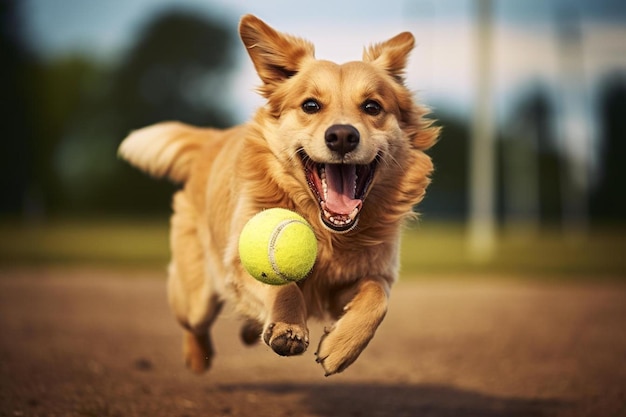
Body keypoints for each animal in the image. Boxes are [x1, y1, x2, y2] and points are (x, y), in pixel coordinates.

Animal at [118, 14, 438, 376]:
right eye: (310, 105)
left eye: (372, 107)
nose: (343, 135)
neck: (327, 233)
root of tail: (213, 140)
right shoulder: (240, 264)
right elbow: (283, 286)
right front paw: (288, 326)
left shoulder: (365, 275)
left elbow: (377, 297)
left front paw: (342, 346)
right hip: (196, 295)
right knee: (193, 322)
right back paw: (198, 356)